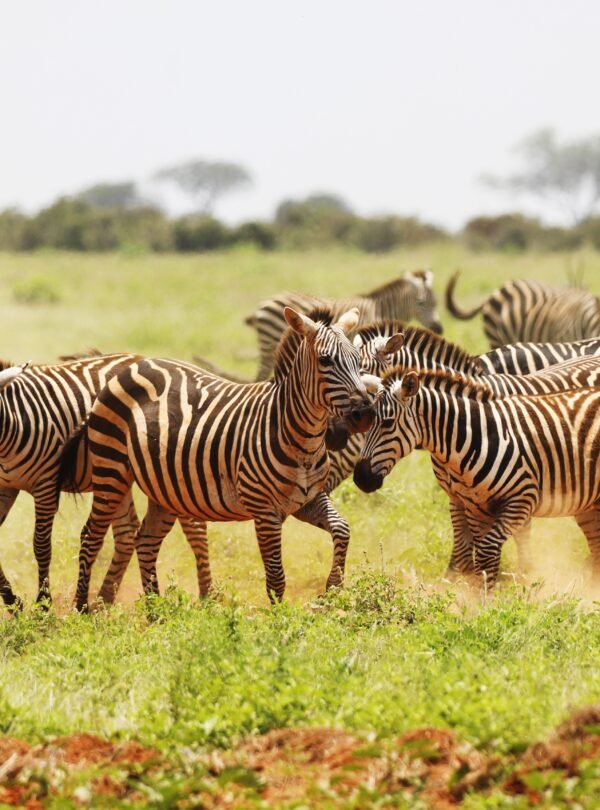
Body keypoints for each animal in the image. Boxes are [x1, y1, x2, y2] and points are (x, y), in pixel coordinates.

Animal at [59, 307, 376, 610]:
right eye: (325, 361)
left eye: (357, 360)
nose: (365, 413)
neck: (300, 439)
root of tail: (133, 365)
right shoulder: (264, 510)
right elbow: (276, 577)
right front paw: (279, 619)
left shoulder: (307, 500)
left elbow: (343, 529)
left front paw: (333, 587)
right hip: (111, 470)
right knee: (91, 535)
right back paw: (82, 608)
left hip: (164, 489)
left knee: (145, 540)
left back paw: (155, 612)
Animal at [244, 269, 442, 380]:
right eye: (421, 303)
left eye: (436, 303)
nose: (439, 329)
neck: (380, 309)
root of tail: (265, 303)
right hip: (269, 344)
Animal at [354, 362, 600, 587]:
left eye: (387, 423)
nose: (360, 479)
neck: (479, 438)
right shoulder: (474, 507)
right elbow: (473, 560)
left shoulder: (521, 500)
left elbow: (486, 553)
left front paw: (485, 602)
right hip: (589, 505)